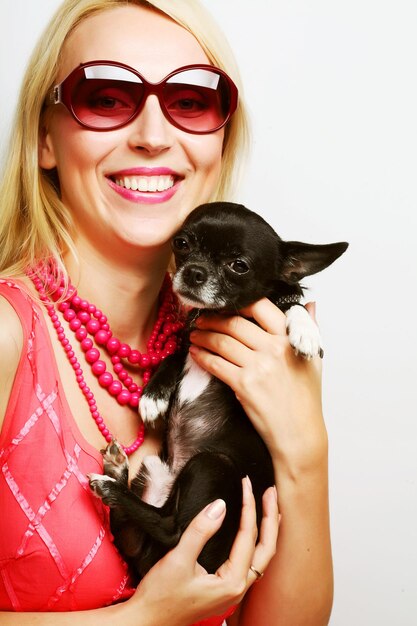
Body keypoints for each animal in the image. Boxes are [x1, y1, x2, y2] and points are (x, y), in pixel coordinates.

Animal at [90, 202, 348, 576]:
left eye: (238, 265)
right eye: (181, 243)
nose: (195, 272)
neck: (219, 316)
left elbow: (293, 305)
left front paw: (305, 331)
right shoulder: (189, 342)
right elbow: (174, 357)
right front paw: (154, 396)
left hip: (214, 464)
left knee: (172, 528)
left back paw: (112, 486)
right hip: (156, 471)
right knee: (136, 532)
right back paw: (116, 473)